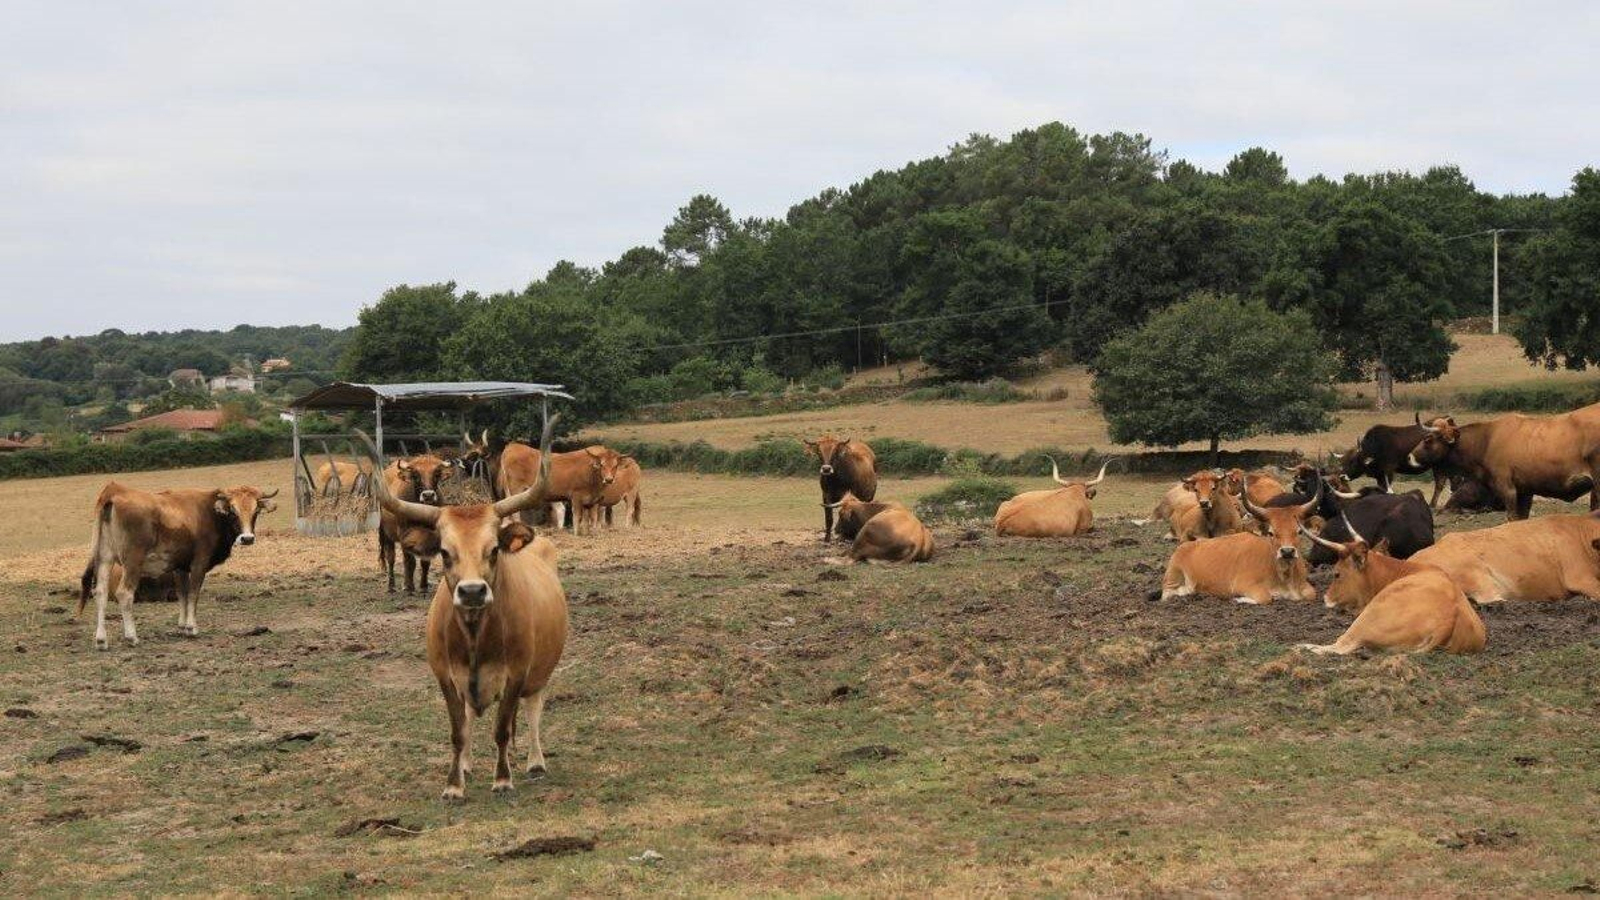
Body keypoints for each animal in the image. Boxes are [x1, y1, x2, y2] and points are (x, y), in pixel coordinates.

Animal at [78, 483, 277, 648]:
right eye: (233, 511)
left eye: (255, 511)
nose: (247, 538)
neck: (210, 512)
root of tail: (114, 491)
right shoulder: (199, 564)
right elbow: (193, 594)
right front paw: (191, 627)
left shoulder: (179, 567)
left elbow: (182, 594)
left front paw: (182, 625)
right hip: (133, 562)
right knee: (124, 593)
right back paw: (131, 636)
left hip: (104, 558)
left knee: (100, 592)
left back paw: (101, 640)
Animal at [379, 454, 456, 594]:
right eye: (415, 475)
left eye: (436, 474)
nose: (428, 495)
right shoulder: (404, 533)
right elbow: (410, 561)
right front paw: (410, 587)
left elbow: (425, 562)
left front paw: (423, 586)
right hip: (387, 534)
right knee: (391, 558)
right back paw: (392, 586)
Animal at [1154, 480, 1322, 605]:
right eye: (1271, 532)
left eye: (1299, 531)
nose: (1287, 551)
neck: (1284, 576)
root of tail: (1185, 546)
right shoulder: (1244, 585)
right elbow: (1265, 598)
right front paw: (1239, 599)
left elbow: (1312, 593)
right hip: (1173, 576)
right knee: (1168, 593)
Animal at [1299, 527, 1486, 655]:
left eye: (1336, 574)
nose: (1326, 598)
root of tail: (1448, 619)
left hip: (1365, 619)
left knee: (1340, 646)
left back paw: (1304, 647)